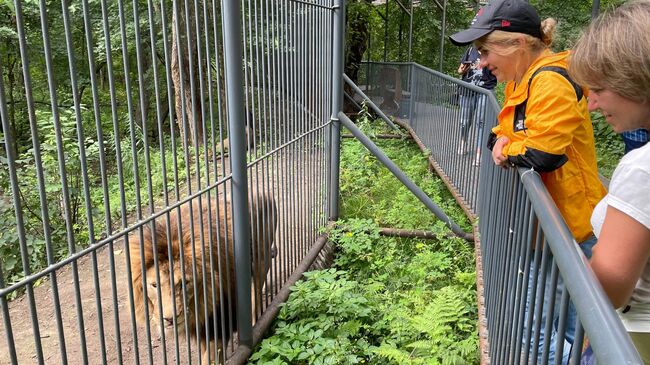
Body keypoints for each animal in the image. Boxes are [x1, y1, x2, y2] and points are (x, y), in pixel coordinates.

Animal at [128, 192, 276, 362]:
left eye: (184, 283)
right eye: (154, 285)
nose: (169, 319)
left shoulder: (219, 322)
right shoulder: (204, 327)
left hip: (261, 262)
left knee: (256, 299)